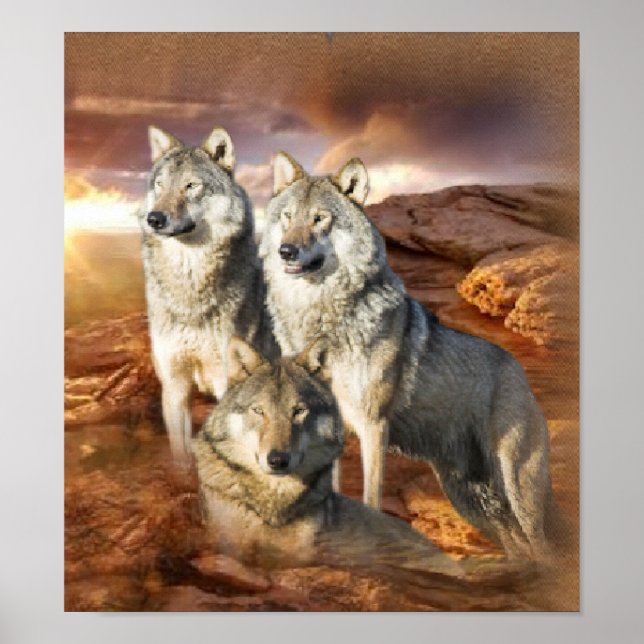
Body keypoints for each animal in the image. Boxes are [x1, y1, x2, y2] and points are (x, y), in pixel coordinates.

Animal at [140, 126, 274, 462]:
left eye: (191, 186)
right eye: (160, 185)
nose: (154, 218)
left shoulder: (226, 383)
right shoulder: (175, 385)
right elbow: (180, 453)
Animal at [259, 152, 566, 560]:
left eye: (320, 218)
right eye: (287, 217)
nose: (287, 251)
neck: (320, 320)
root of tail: (519, 372)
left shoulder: (373, 426)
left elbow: (371, 499)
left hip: (517, 490)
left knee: (545, 551)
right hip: (471, 501)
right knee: (521, 550)